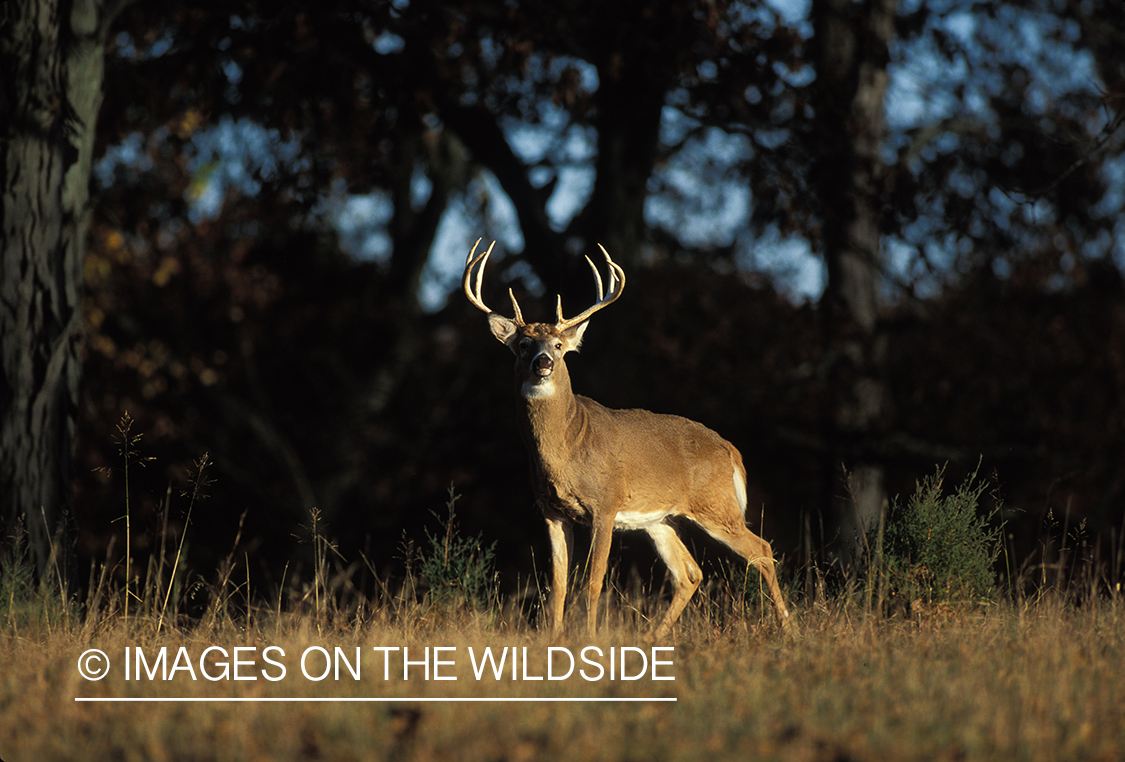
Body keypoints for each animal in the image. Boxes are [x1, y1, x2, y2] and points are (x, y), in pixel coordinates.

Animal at [463, 237, 792, 634]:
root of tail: (731, 452)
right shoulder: (551, 510)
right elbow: (557, 583)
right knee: (690, 573)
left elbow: (594, 580)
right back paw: (653, 637)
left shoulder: (605, 504)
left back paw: (789, 629)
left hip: (716, 505)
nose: (543, 363)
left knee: (762, 550)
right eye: (524, 344)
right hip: (660, 520)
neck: (568, 446)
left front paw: (588, 636)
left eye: (558, 345)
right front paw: (553, 638)